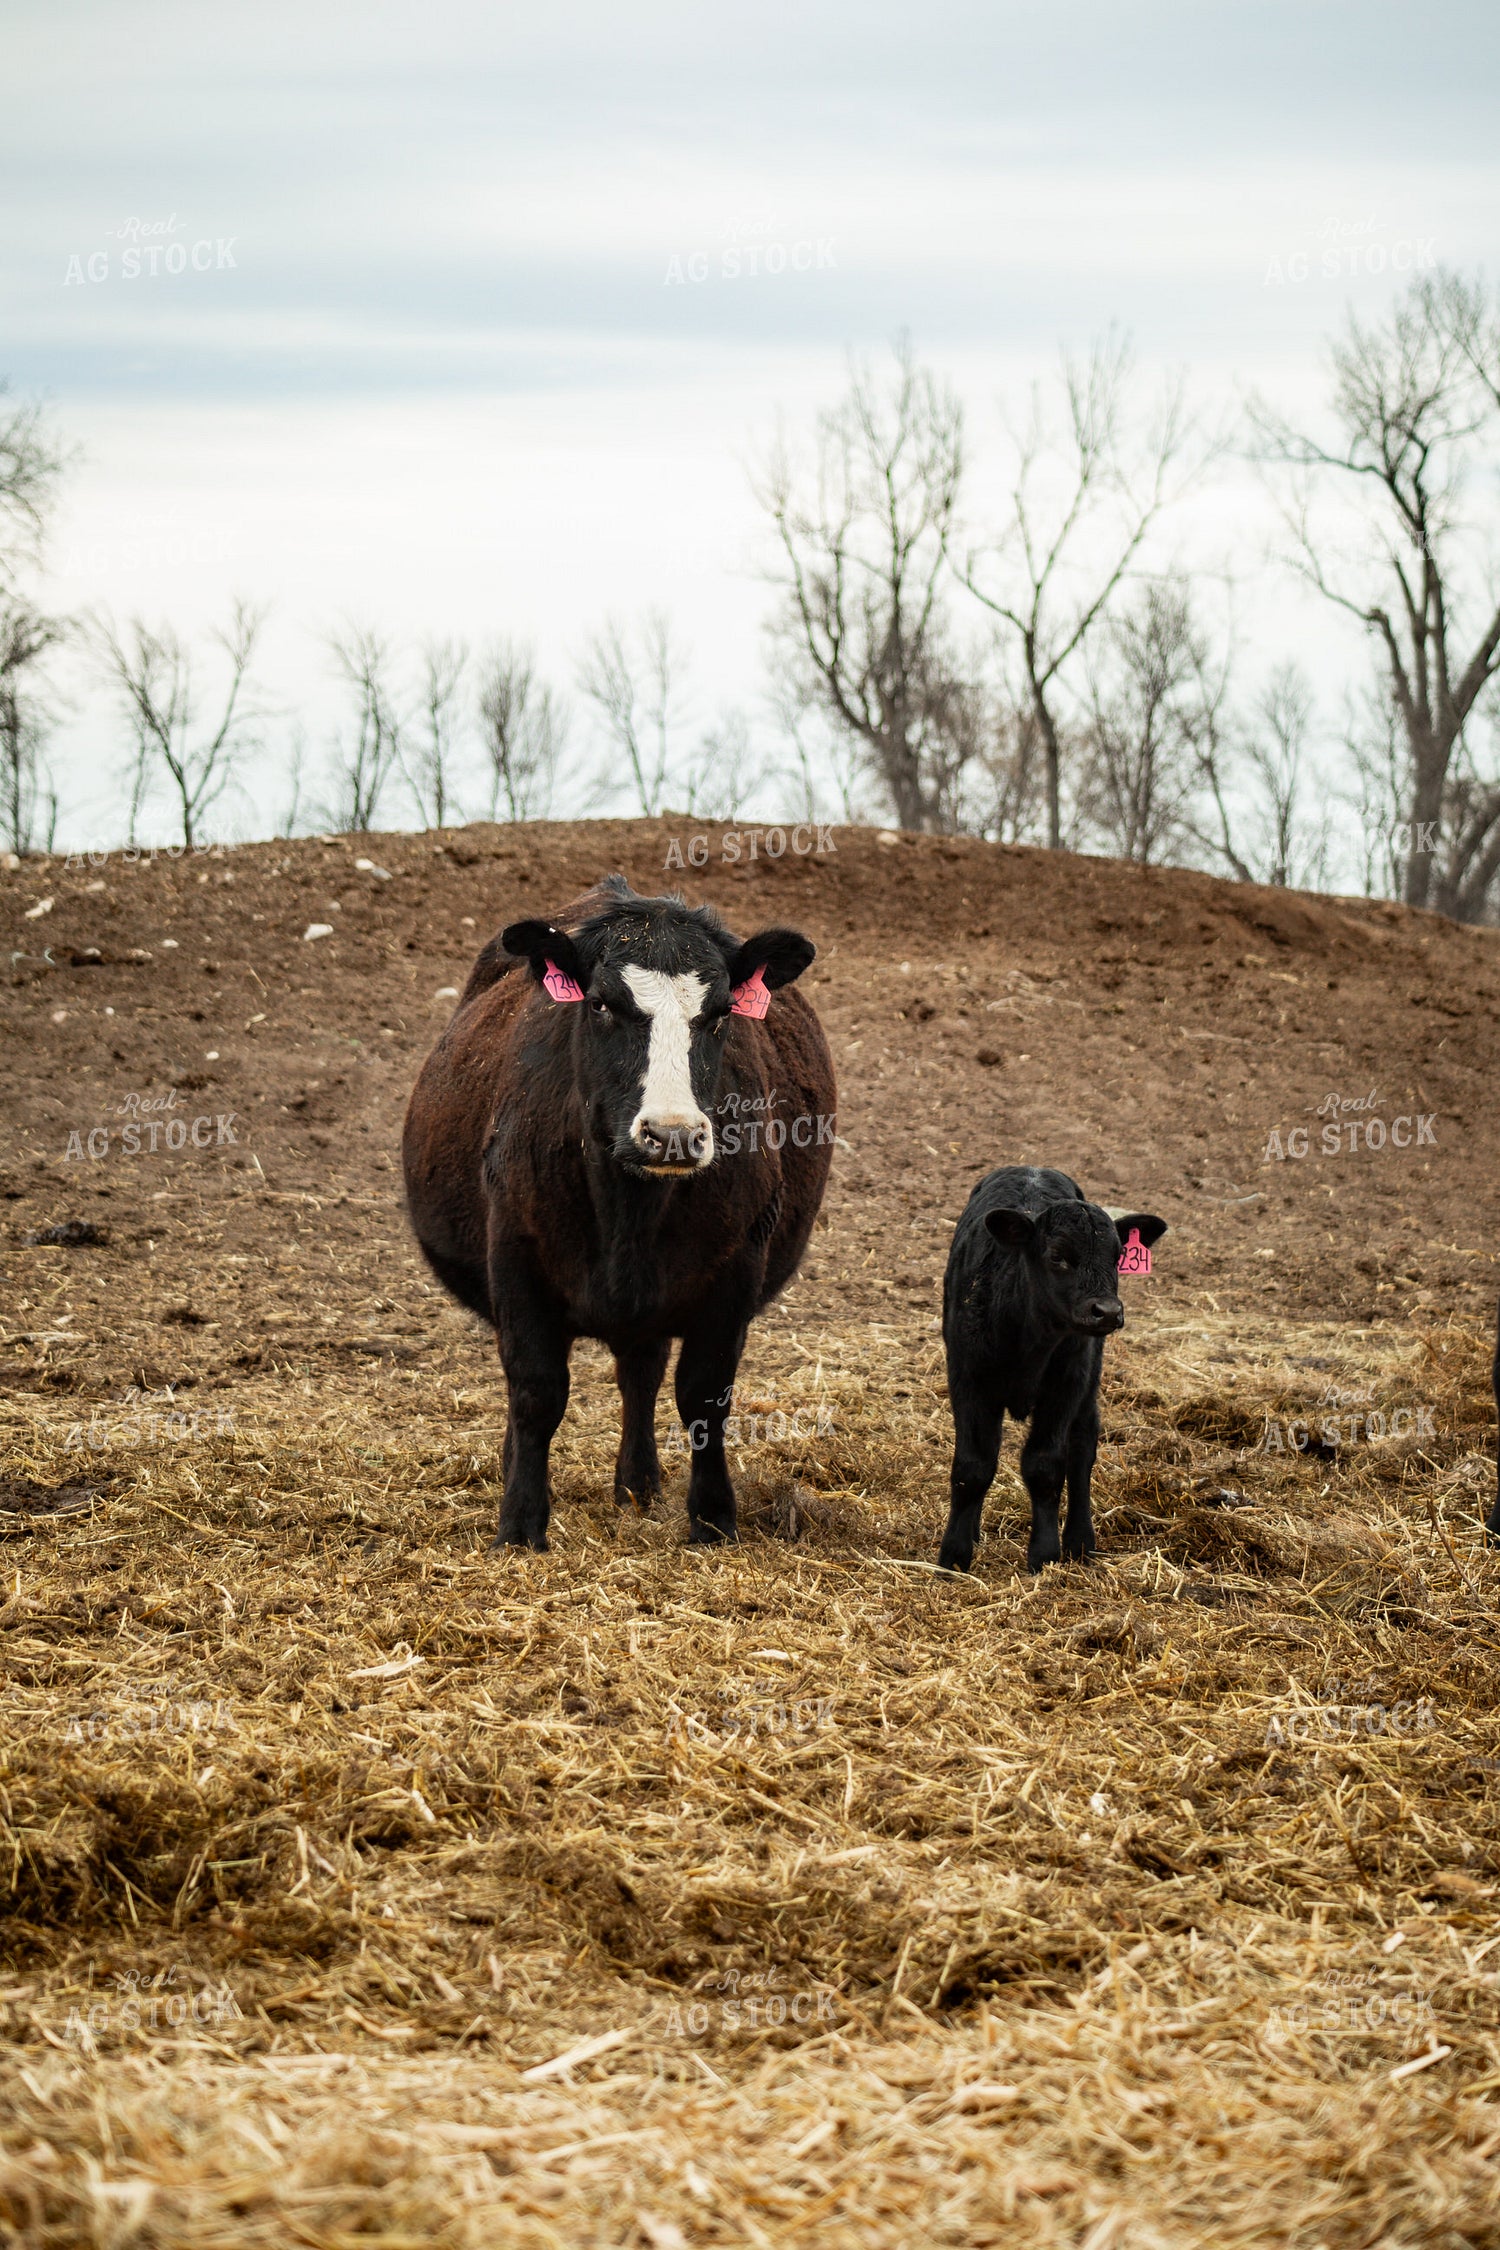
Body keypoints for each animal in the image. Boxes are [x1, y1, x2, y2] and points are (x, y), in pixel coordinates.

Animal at [402, 876, 836, 1551]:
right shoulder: (515, 1257)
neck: (627, 1214)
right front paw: (520, 1525)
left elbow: (705, 1397)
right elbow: (535, 1392)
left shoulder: (737, 1267)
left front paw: (713, 1519)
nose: (672, 1135)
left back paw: (637, 1485)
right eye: (603, 1004)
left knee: (641, 1372)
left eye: (720, 1013)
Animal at [936, 1165, 1167, 1575]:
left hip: (1088, 1380)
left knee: (1082, 1448)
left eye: (1117, 1256)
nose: (1107, 1311)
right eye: (1057, 1256)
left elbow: (1045, 1466)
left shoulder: (1066, 1385)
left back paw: (1080, 1541)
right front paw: (955, 1553)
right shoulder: (968, 1378)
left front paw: (1044, 1553)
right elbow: (972, 1466)